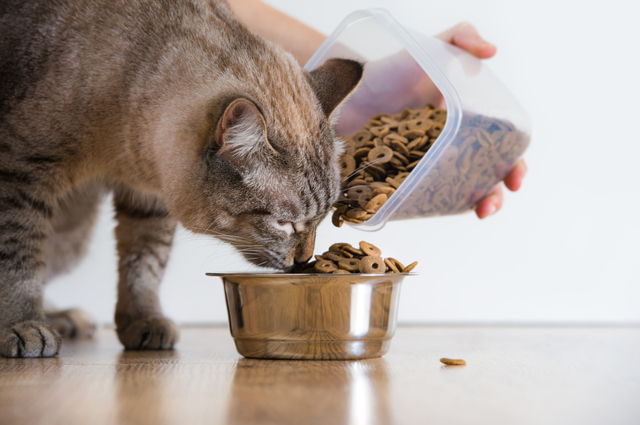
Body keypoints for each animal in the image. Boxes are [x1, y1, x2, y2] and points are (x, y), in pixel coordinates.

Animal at [0, 0, 362, 356]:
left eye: (321, 220)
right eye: (284, 224)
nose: (304, 260)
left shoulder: (148, 200)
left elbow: (144, 265)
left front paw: (144, 321)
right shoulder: (20, 173)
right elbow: (18, 259)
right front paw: (22, 325)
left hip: (73, 232)